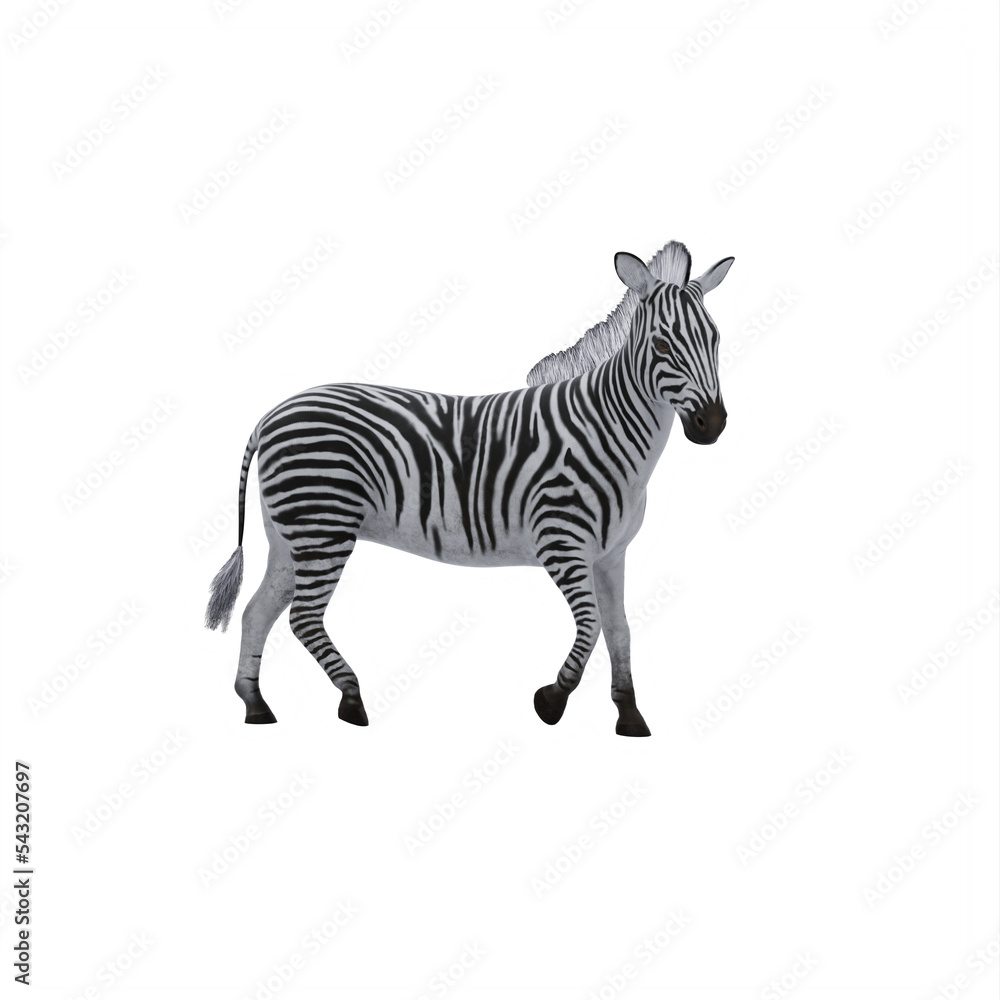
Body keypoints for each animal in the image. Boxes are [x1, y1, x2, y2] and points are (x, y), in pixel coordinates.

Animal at [205, 241, 734, 736]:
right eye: (662, 345)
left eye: (714, 338)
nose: (712, 426)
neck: (609, 433)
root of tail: (272, 413)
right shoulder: (561, 543)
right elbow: (591, 628)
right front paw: (551, 701)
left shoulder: (611, 555)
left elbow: (619, 630)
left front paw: (629, 715)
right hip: (323, 527)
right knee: (301, 618)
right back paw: (351, 700)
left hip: (291, 535)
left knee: (256, 611)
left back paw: (256, 707)